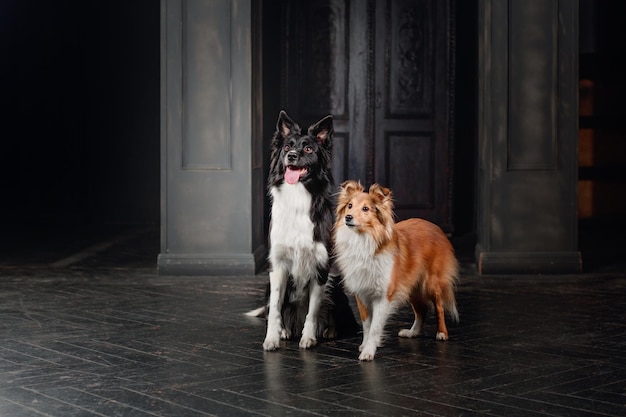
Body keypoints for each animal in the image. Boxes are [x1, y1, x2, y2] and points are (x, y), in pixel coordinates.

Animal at [246, 109, 358, 348]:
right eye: (288, 146)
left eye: (308, 149)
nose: (291, 156)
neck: (297, 196)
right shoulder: (277, 266)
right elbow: (275, 309)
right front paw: (272, 338)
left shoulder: (321, 267)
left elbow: (313, 311)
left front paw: (309, 337)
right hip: (268, 287)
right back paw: (286, 330)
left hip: (335, 286)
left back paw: (329, 330)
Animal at [332, 180, 458, 360]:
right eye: (349, 206)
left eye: (366, 209)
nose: (348, 217)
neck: (364, 240)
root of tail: (435, 226)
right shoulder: (361, 293)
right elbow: (367, 324)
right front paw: (365, 345)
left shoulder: (384, 296)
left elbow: (375, 326)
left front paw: (369, 351)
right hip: (410, 286)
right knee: (422, 310)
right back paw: (412, 332)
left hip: (430, 283)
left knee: (439, 307)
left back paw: (442, 333)